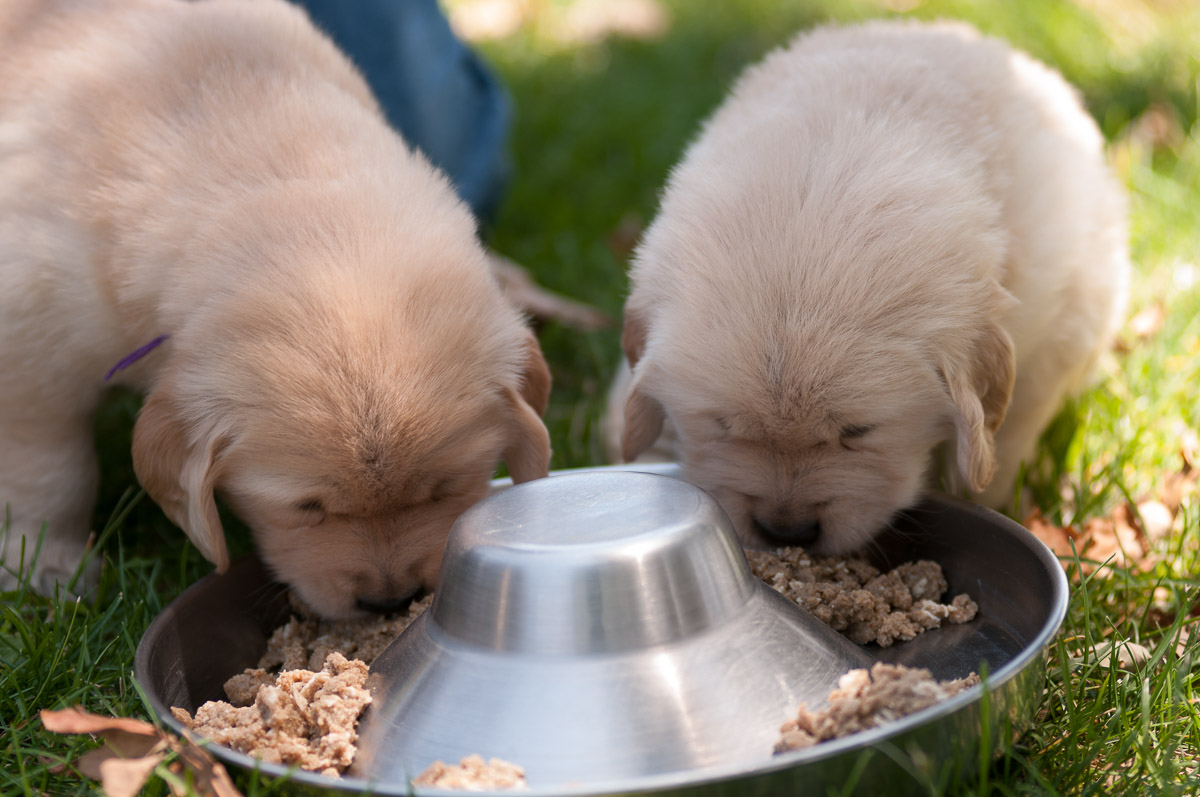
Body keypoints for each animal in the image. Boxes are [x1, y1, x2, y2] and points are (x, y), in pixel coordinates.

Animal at [0, 0, 552, 614]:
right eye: (306, 507)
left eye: (445, 489)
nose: (388, 601)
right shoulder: (28, 342)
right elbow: (51, 470)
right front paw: (46, 564)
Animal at [604, 18, 1128, 554]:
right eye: (722, 424)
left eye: (858, 431)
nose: (786, 533)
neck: (843, 136)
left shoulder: (1053, 335)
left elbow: (1002, 440)